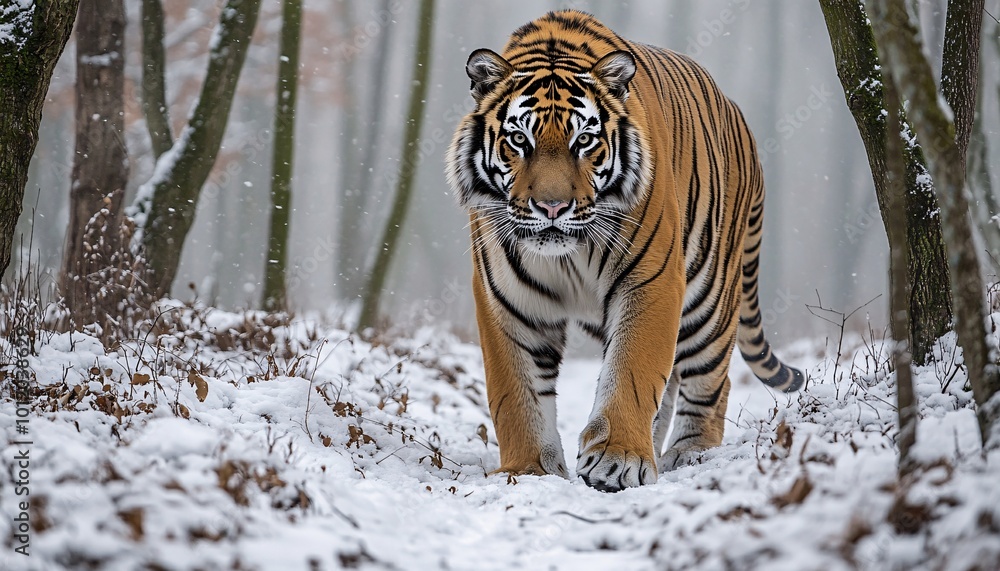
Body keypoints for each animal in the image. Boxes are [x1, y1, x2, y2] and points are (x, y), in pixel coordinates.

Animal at [445, 10, 804, 492]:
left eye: (583, 141)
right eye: (519, 140)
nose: (553, 207)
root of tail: (740, 121)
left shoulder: (651, 279)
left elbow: (632, 371)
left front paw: (618, 460)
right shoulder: (507, 298)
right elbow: (516, 393)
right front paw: (527, 470)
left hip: (710, 299)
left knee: (712, 378)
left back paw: (690, 454)